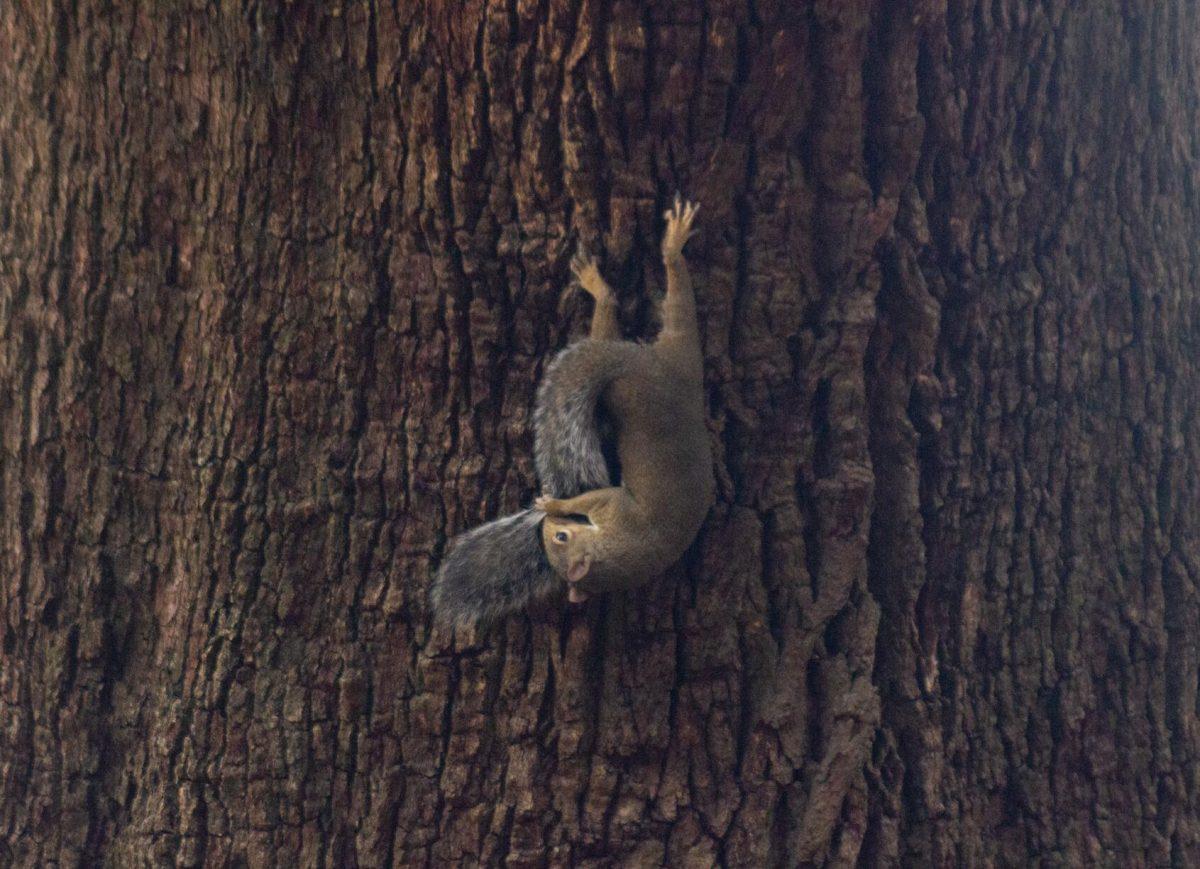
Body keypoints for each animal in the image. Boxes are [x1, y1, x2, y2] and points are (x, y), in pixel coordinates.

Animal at [432, 198, 710, 624]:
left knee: (656, 308)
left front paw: (552, 503)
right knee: (673, 304)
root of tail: (642, 367)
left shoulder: (613, 507)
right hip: (680, 355)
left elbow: (588, 499)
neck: (630, 549)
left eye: (561, 539)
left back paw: (649, 259)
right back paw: (660, 253)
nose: (546, 526)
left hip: (630, 392)